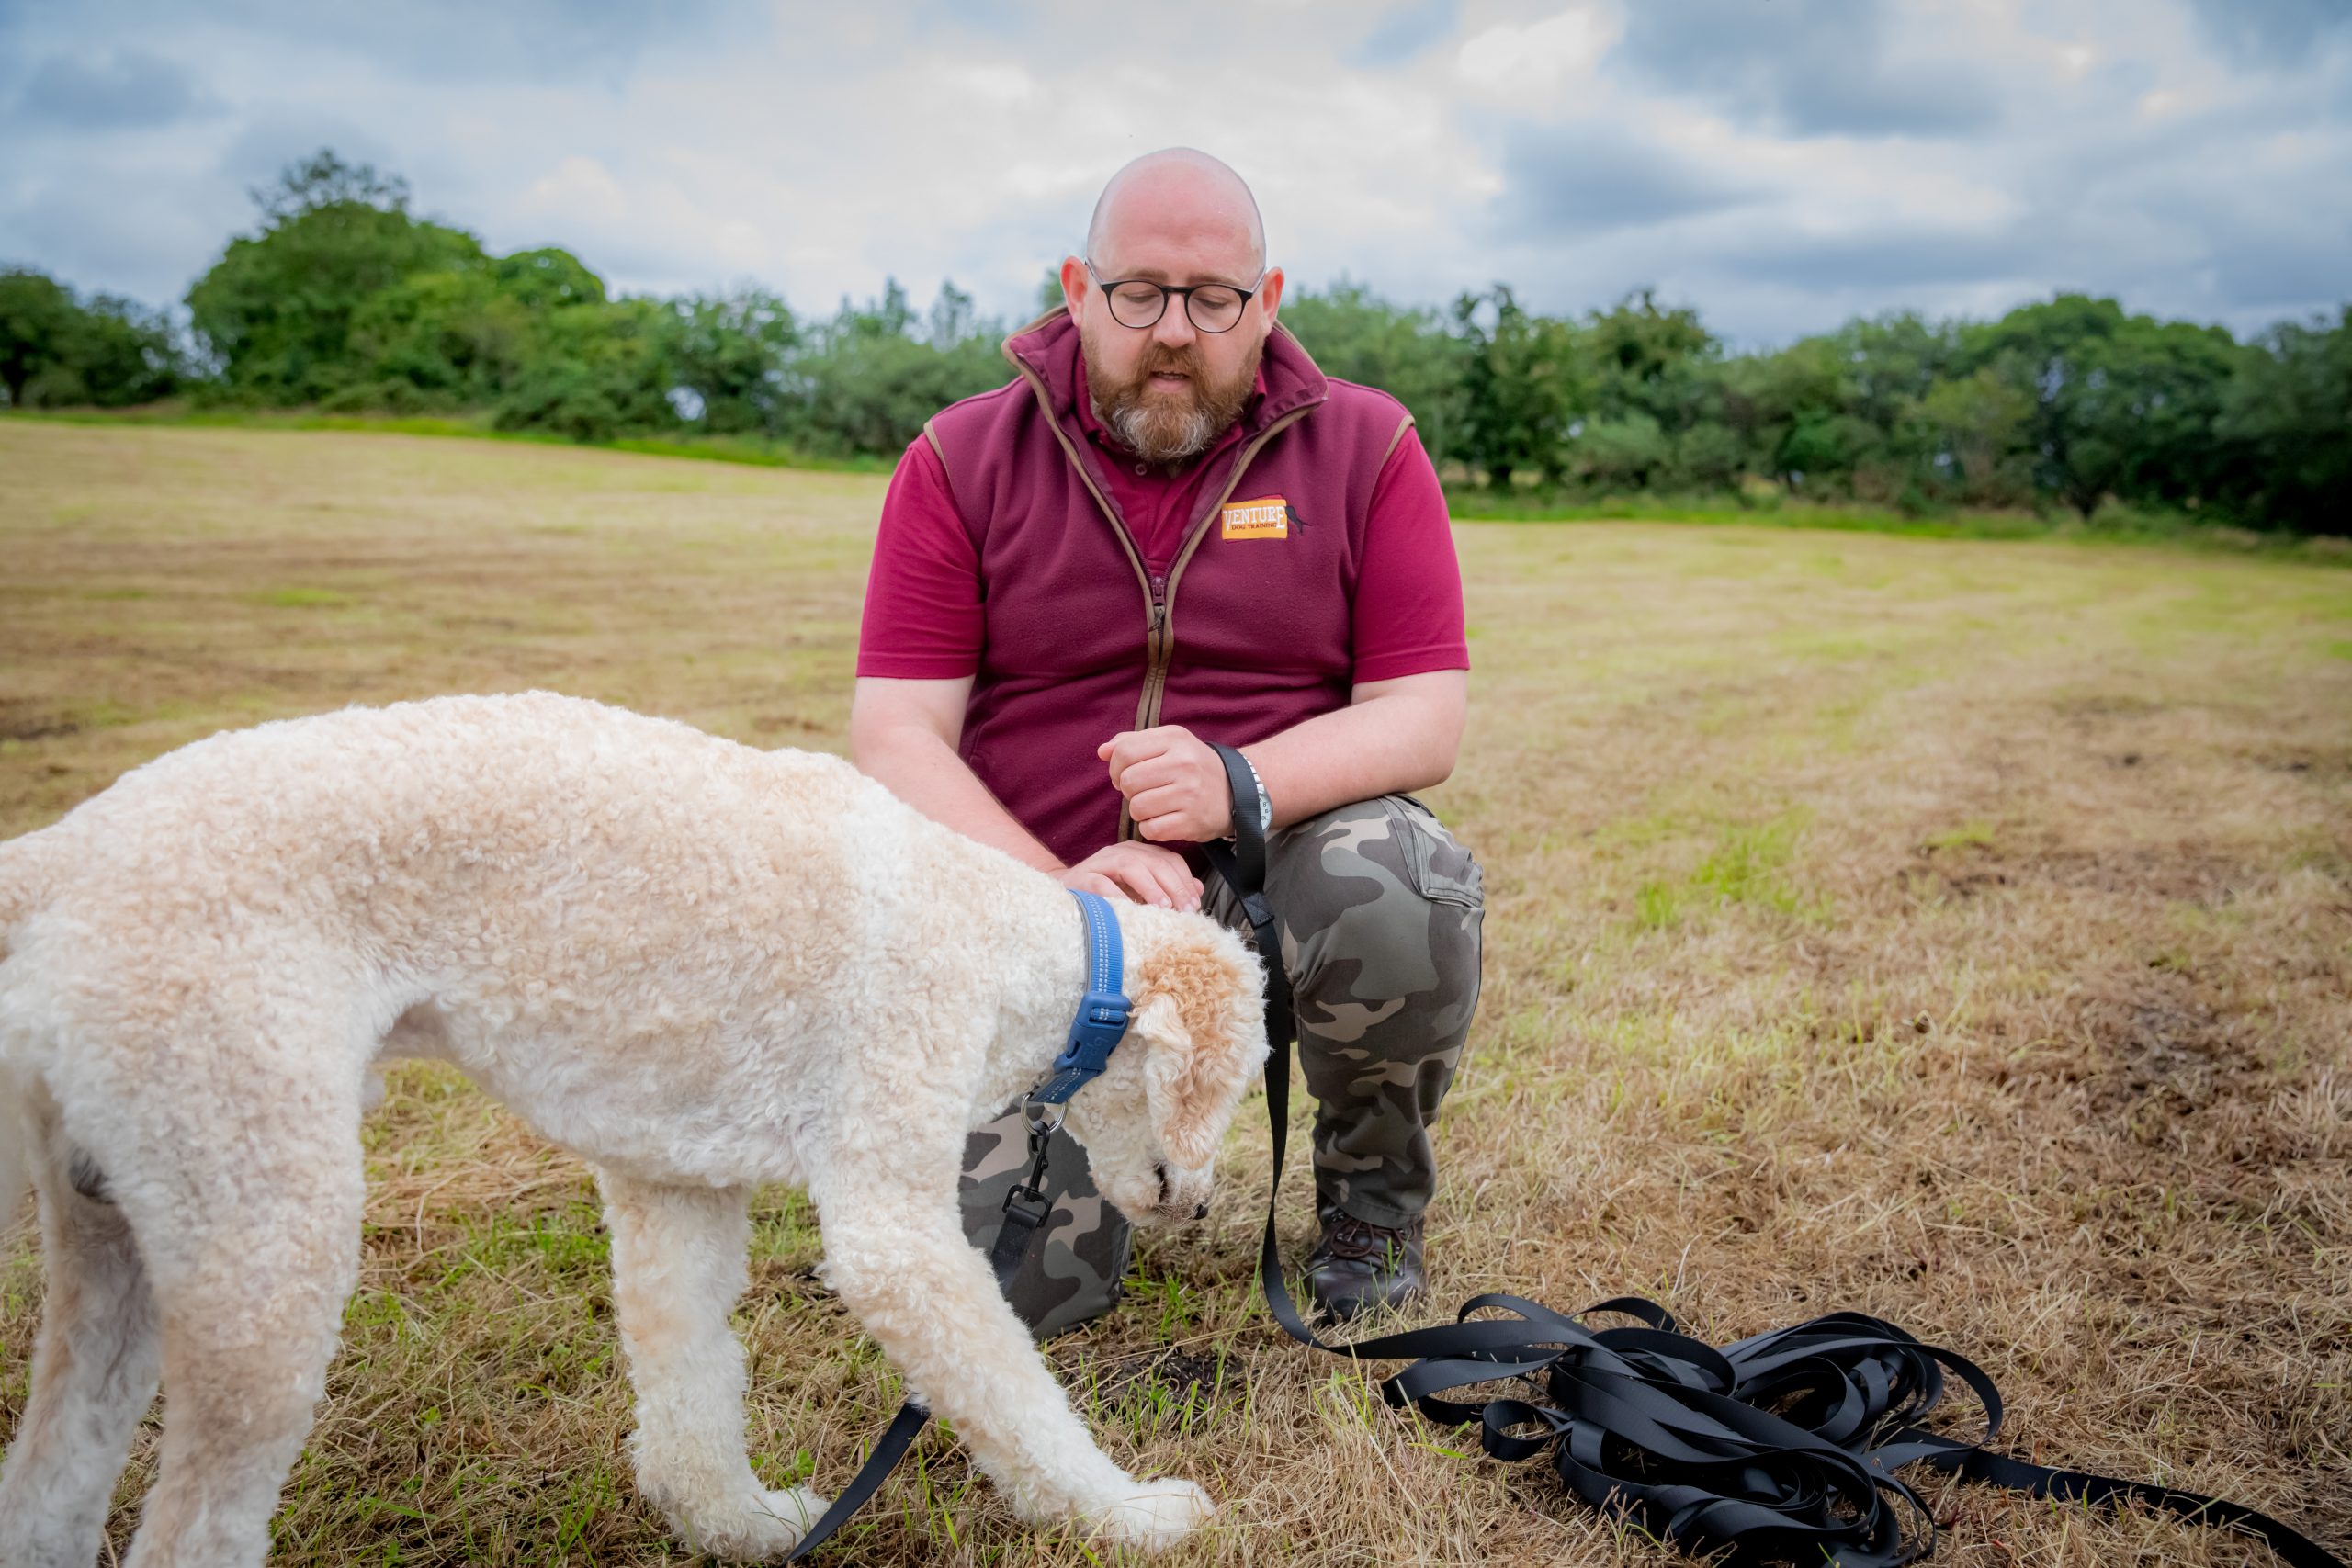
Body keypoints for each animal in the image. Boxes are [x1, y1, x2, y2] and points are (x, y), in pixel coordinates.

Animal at [0, 695, 1270, 1568]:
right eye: (1244, 1078)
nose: (1205, 1203)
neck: (1024, 950)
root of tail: (60, 858)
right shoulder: (893, 1220)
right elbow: (1010, 1393)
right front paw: (1133, 1516)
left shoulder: (674, 1186)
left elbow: (691, 1383)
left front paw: (739, 1527)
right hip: (262, 1237)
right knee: (191, 1529)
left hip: (120, 1224)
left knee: (48, 1489)